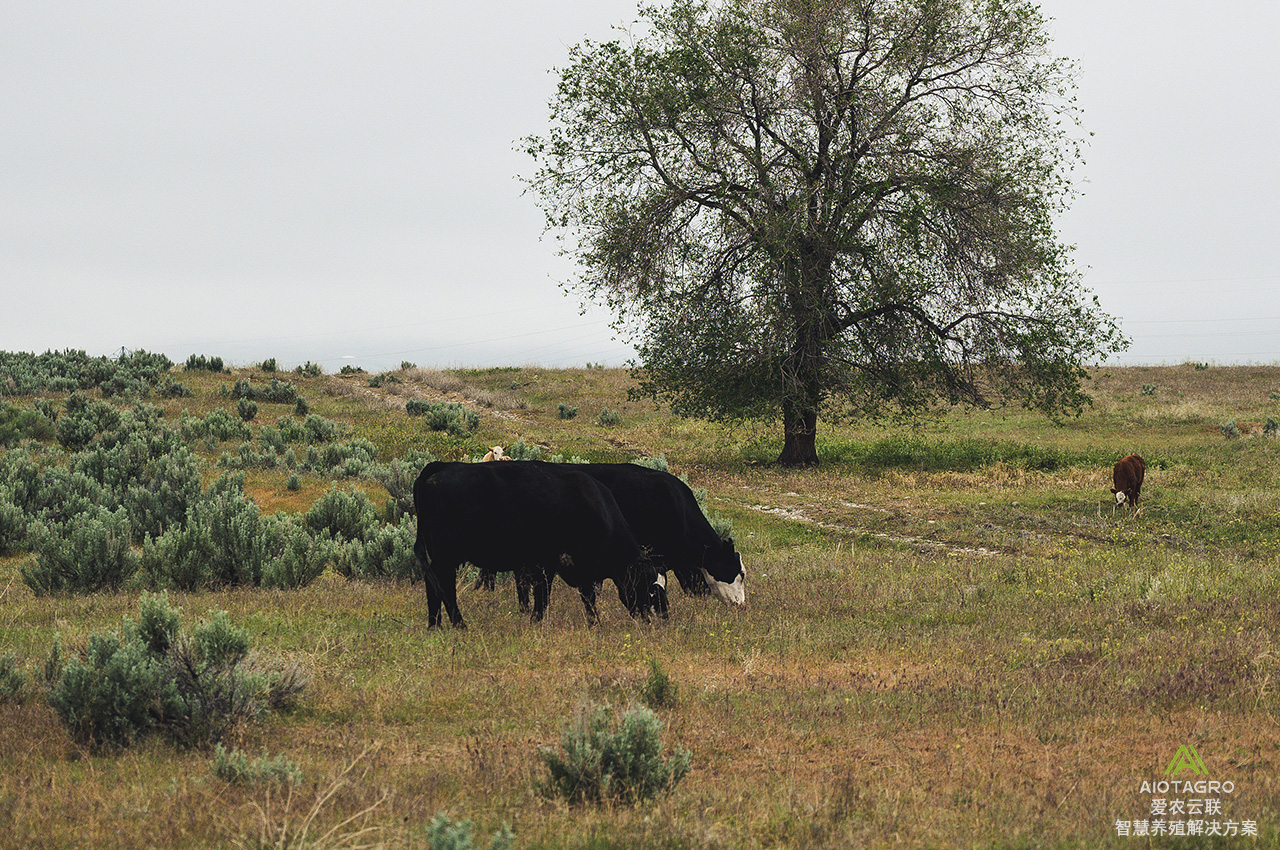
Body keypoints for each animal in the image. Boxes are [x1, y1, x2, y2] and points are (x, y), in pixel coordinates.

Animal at [414, 460, 665, 627]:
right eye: (650, 588)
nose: (659, 617)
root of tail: (442, 466)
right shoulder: (570, 564)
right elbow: (579, 596)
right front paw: (594, 624)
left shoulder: (549, 565)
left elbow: (544, 595)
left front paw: (536, 619)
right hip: (446, 555)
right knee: (444, 584)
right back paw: (458, 624)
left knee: (433, 581)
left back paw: (435, 624)